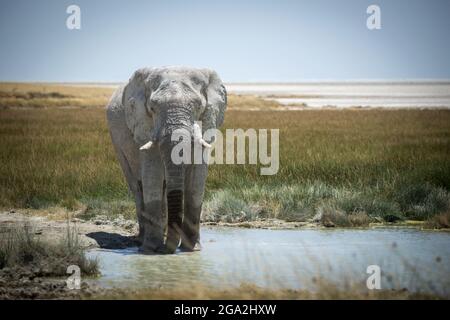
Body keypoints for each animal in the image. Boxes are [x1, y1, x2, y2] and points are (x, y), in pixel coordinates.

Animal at [104, 66, 225, 254]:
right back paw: (142, 241)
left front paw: (192, 250)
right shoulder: (144, 125)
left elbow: (196, 181)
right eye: (152, 107)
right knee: (137, 186)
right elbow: (152, 174)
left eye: (198, 106)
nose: (165, 250)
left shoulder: (207, 123)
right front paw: (151, 250)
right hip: (117, 142)